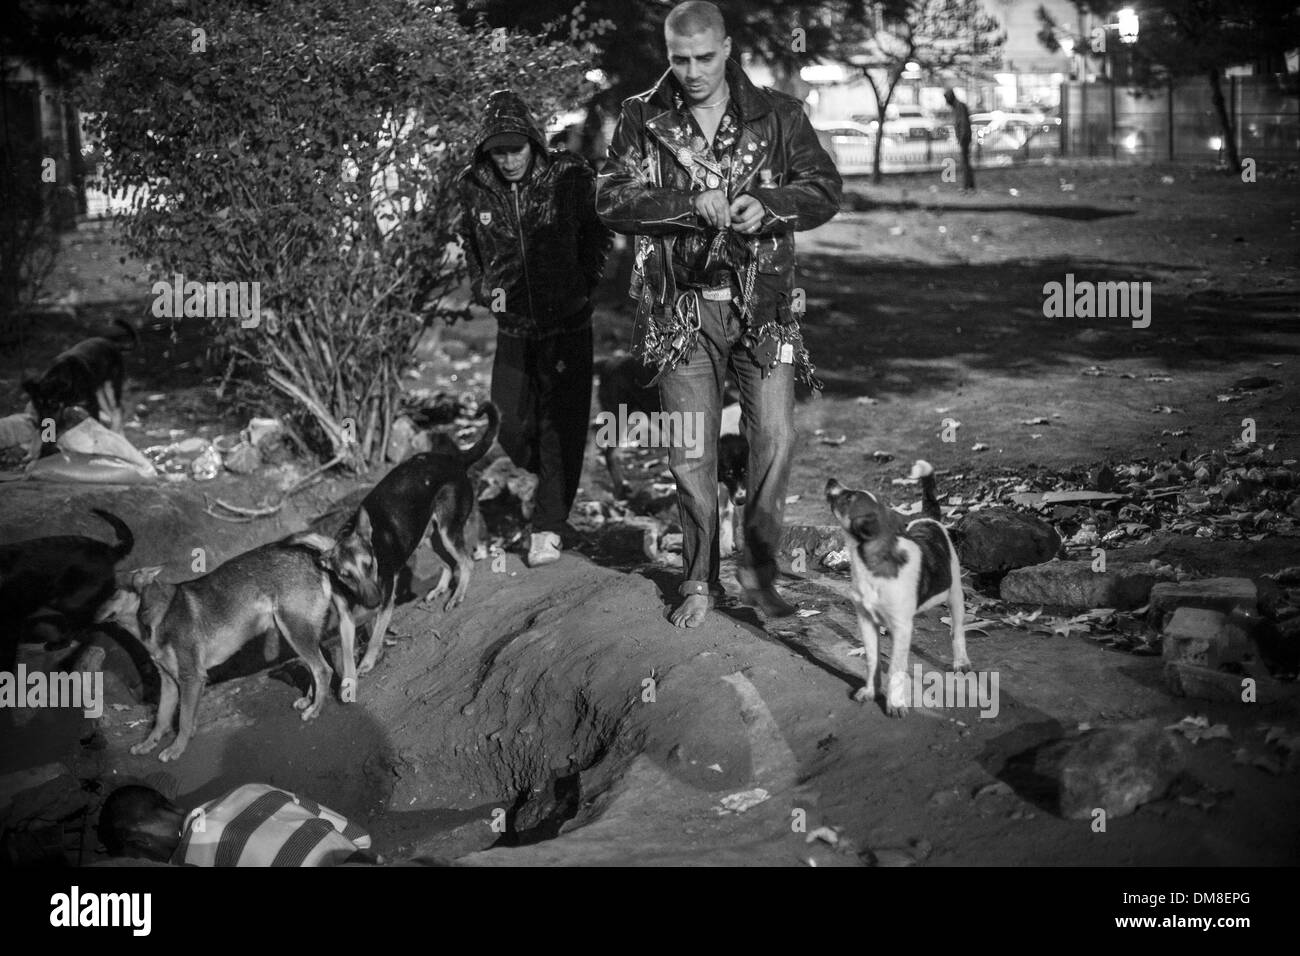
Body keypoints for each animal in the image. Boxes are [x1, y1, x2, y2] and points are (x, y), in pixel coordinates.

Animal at [24, 317, 139, 460]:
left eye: (53, 403)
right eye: (37, 403)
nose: (41, 424)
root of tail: (112, 344)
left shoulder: (91, 405)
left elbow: (94, 426)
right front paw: (33, 453)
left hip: (111, 386)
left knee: (118, 409)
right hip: (100, 394)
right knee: (113, 412)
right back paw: (119, 437)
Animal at [95, 522, 379, 764]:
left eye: (111, 591)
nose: (88, 614)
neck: (156, 616)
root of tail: (313, 560)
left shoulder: (191, 678)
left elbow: (184, 720)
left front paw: (176, 749)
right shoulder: (169, 682)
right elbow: (161, 721)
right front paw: (148, 745)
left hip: (293, 631)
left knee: (323, 669)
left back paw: (315, 710)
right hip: (299, 633)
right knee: (316, 667)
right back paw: (309, 700)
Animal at [343, 400, 499, 676]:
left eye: (369, 564)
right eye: (345, 574)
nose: (372, 599)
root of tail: (455, 459)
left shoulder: (386, 599)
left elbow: (375, 636)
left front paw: (368, 662)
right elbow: (370, 630)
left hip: (447, 531)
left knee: (465, 562)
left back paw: (457, 596)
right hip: (428, 536)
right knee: (449, 563)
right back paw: (439, 590)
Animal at [821, 463, 967, 717]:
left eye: (848, 498)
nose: (831, 480)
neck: (869, 566)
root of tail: (928, 518)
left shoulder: (901, 626)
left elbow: (897, 668)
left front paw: (895, 702)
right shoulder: (866, 620)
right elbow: (872, 659)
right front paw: (871, 691)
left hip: (956, 593)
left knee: (957, 632)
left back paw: (961, 662)